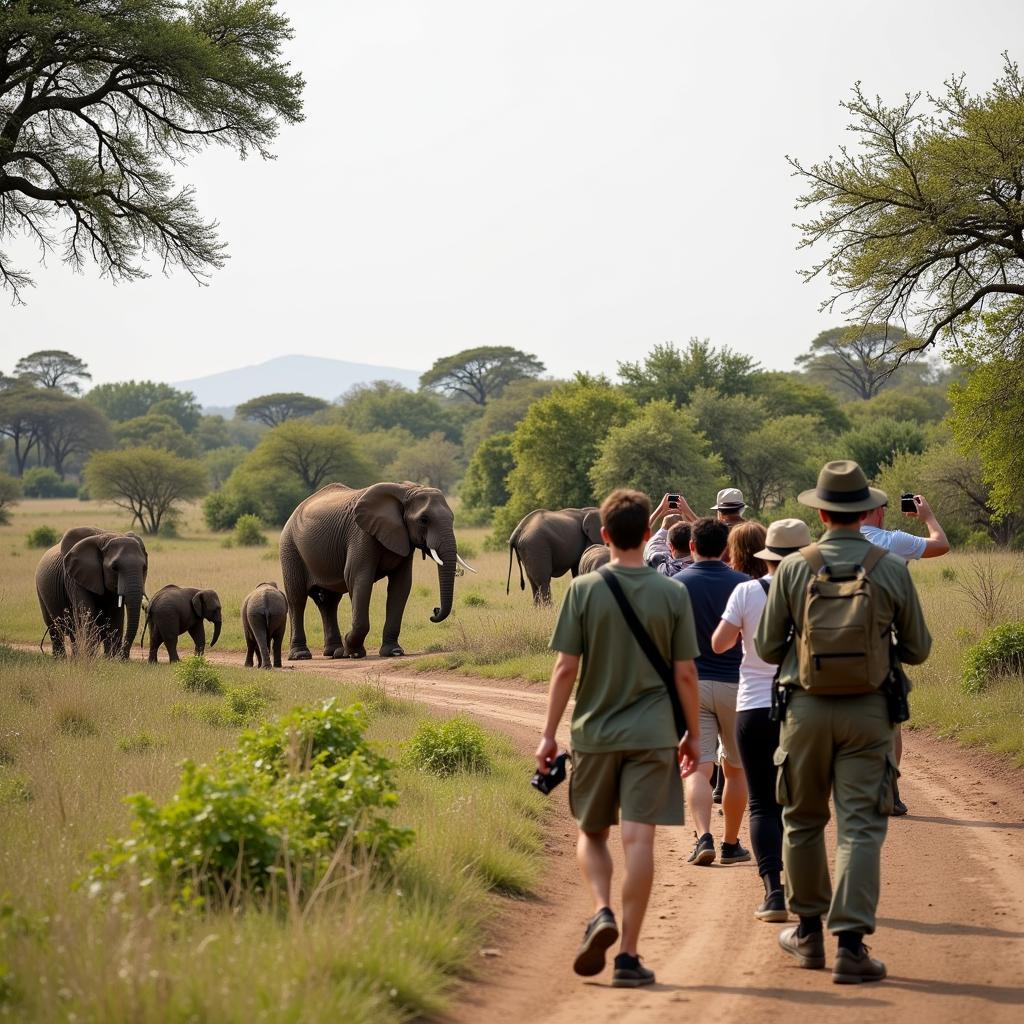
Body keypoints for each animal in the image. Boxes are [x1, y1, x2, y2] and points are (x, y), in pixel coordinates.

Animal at [35, 524, 149, 659]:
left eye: (144, 568)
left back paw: (76, 657)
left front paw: (110, 659)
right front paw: (91, 658)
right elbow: (86, 612)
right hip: (40, 589)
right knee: (54, 628)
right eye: (114, 568)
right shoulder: (73, 577)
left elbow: (115, 616)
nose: (124, 658)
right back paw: (61, 658)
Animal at [278, 481, 473, 659]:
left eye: (452, 519)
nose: (434, 611)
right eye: (424, 520)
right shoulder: (361, 534)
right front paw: (353, 652)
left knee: (329, 602)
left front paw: (393, 652)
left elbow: (401, 585)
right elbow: (358, 579)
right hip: (290, 547)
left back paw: (334, 652)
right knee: (297, 598)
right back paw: (302, 655)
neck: (405, 491)